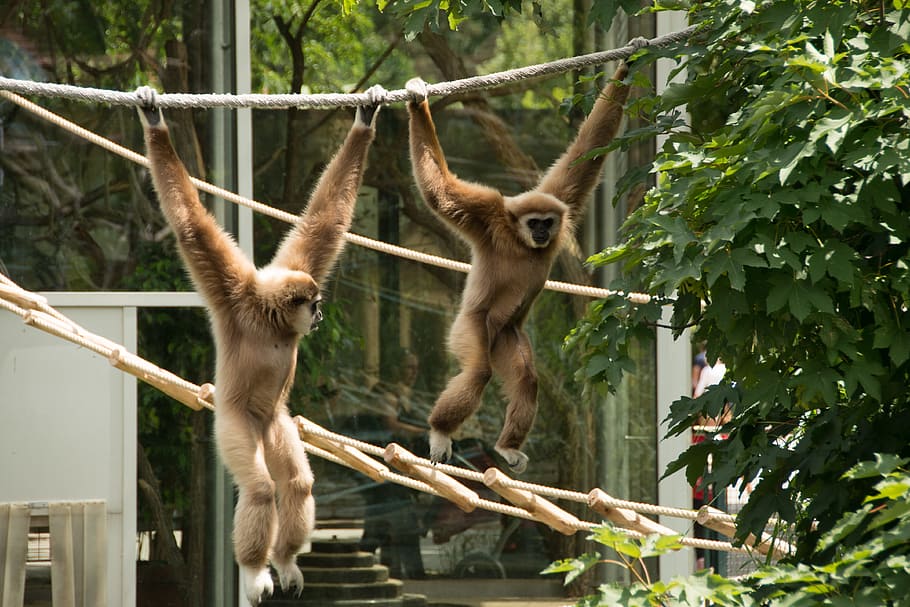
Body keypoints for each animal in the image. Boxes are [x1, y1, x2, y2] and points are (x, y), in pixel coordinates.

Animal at [137, 85, 384, 605]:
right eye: (314, 305)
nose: (320, 315)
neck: (271, 321)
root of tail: (259, 420)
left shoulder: (292, 265)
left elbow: (325, 224)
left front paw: (364, 120)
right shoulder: (233, 293)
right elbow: (190, 227)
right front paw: (154, 121)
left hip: (276, 423)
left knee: (297, 483)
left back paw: (286, 561)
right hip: (235, 424)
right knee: (261, 489)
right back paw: (255, 572)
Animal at [405, 63, 631, 474]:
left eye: (546, 222)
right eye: (533, 223)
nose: (542, 232)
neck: (520, 241)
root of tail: (494, 333)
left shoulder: (559, 201)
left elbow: (585, 154)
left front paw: (630, 65)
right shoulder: (488, 214)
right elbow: (440, 194)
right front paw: (418, 102)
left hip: (507, 336)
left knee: (526, 378)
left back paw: (506, 446)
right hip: (471, 327)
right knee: (479, 371)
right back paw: (440, 430)